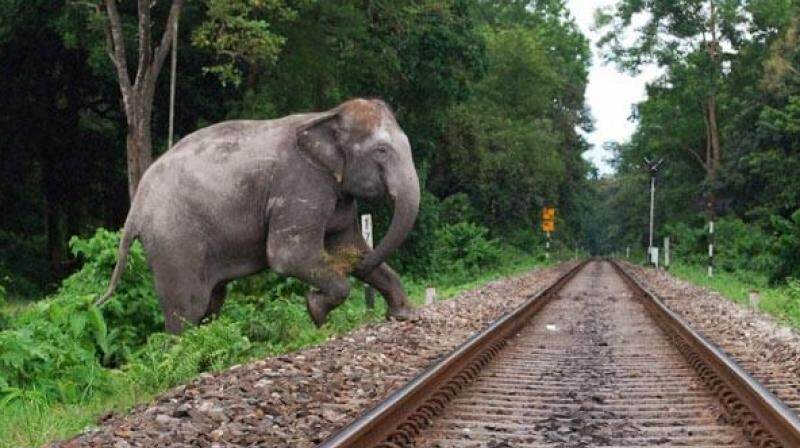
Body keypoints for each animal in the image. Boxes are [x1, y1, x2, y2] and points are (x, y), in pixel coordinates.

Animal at [97, 98, 420, 333]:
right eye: (381, 151)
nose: (357, 265)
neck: (327, 115)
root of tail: (135, 210)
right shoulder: (300, 185)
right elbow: (288, 255)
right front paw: (316, 311)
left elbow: (347, 245)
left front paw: (404, 315)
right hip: (174, 241)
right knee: (189, 308)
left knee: (211, 302)